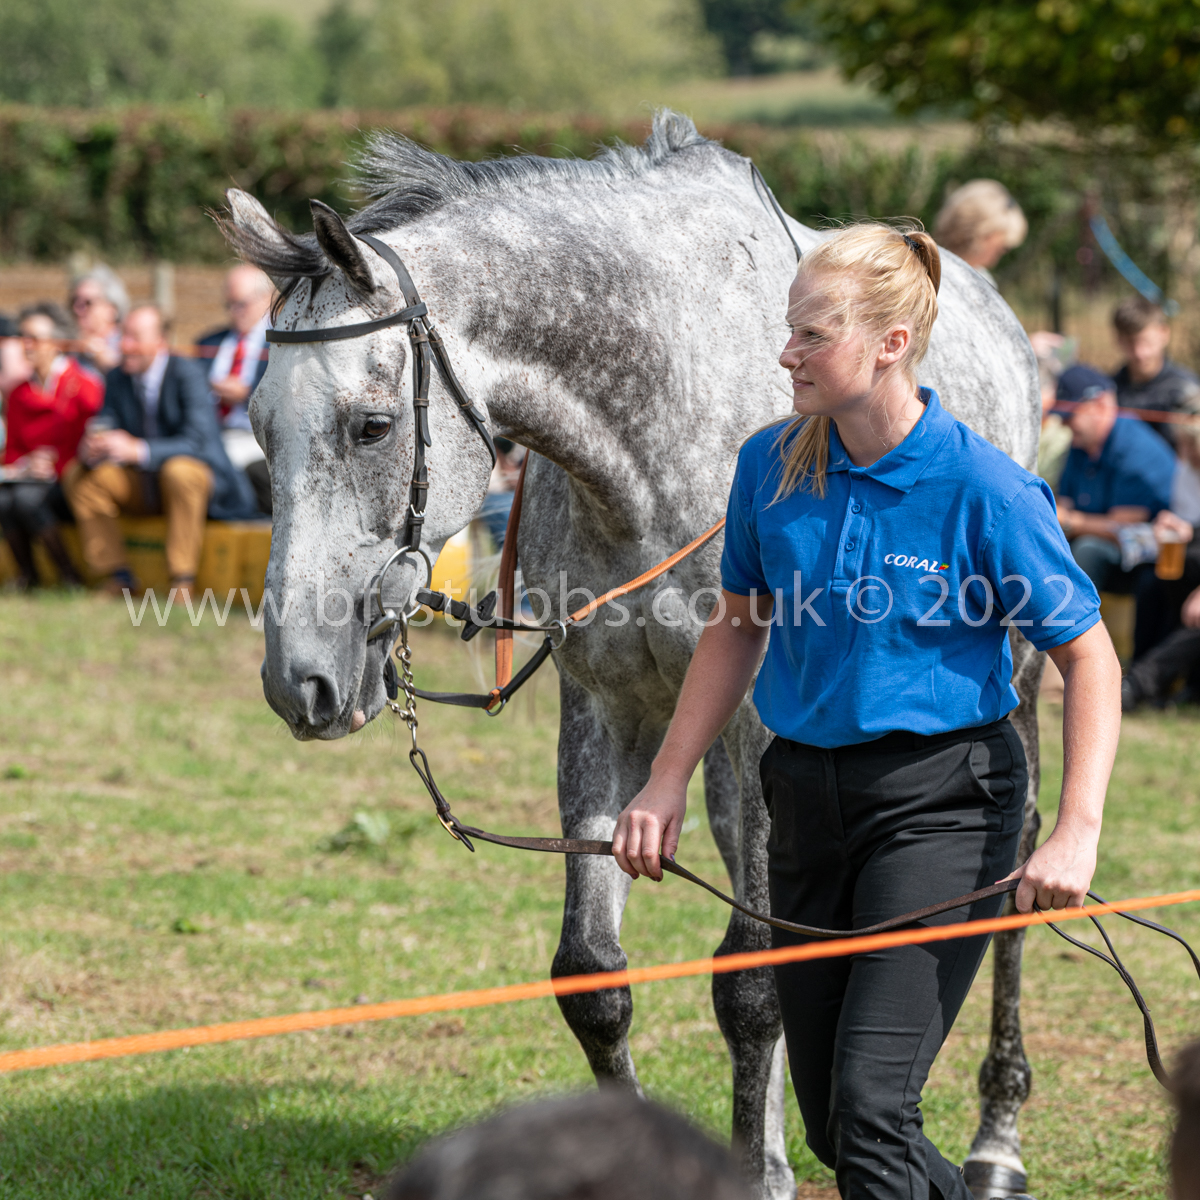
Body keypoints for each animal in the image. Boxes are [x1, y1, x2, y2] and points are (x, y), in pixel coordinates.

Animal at [221, 111, 1044, 1200]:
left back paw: (996, 1137)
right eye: (258, 429)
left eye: (373, 425)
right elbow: (594, 981)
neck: (657, 422)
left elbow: (753, 987)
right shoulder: (606, 707)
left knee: (1013, 869)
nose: (299, 681)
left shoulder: (757, 728)